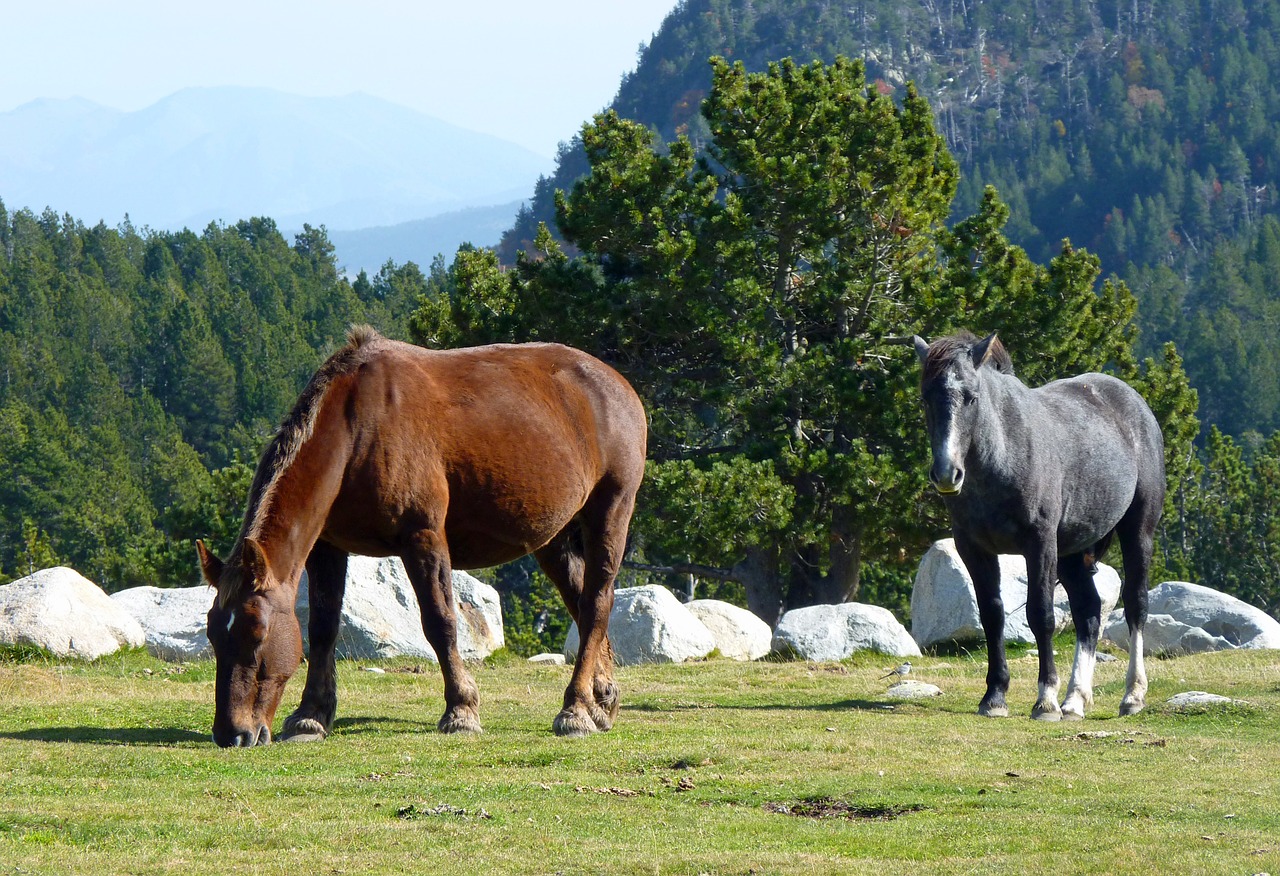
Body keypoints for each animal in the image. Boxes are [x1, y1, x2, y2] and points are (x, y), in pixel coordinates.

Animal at [197, 325, 650, 747]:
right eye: (213, 634)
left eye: (257, 634)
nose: (232, 733)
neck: (357, 428)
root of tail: (617, 384)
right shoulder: (327, 547)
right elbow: (323, 628)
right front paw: (311, 716)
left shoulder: (423, 537)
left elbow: (440, 621)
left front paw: (461, 711)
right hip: (552, 537)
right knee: (580, 601)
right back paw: (601, 700)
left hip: (610, 511)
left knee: (595, 603)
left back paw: (575, 709)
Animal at [916, 332, 1167, 722]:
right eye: (926, 397)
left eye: (971, 397)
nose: (946, 473)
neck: (1005, 454)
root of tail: (1136, 405)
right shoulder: (973, 548)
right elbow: (991, 614)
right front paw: (995, 696)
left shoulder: (1040, 544)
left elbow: (1041, 614)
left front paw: (1045, 700)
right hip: (1072, 552)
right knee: (1089, 613)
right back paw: (1075, 700)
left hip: (1137, 532)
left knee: (1136, 604)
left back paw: (1132, 696)